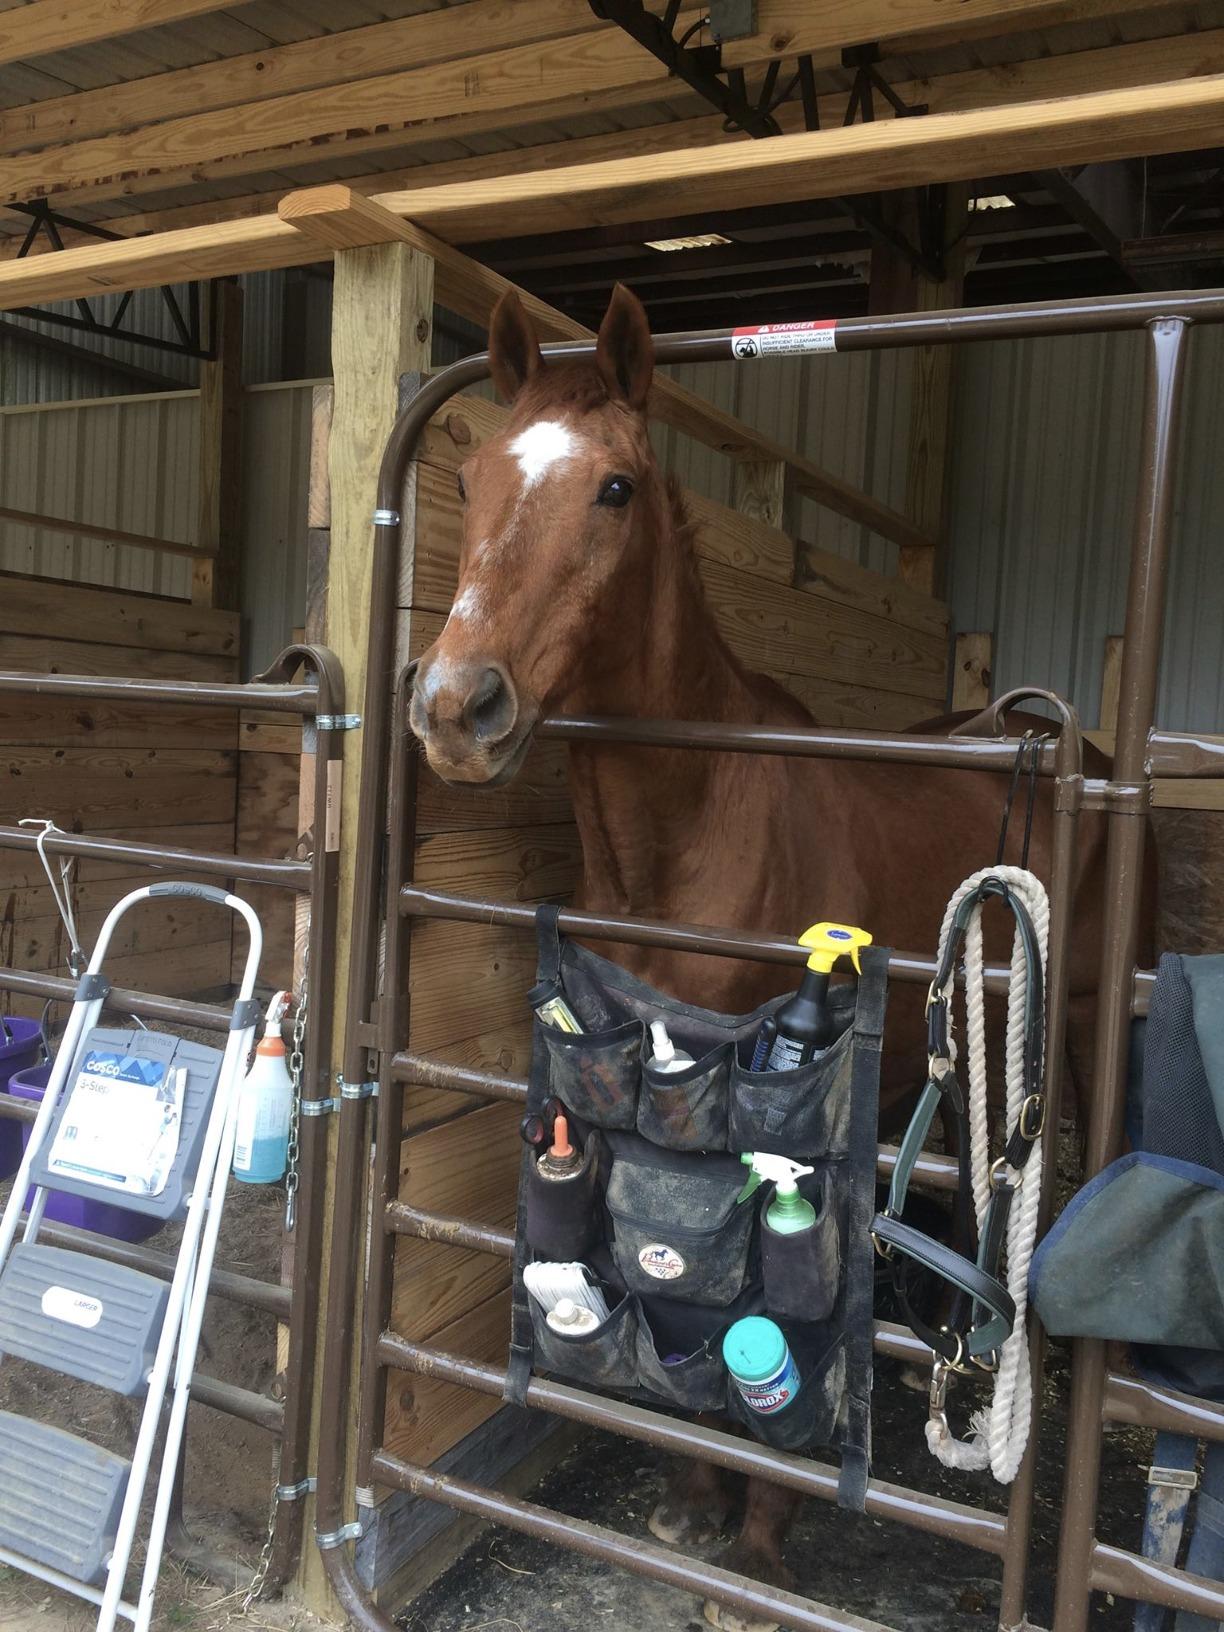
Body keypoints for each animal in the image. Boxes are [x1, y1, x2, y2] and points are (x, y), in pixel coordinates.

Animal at [409, 283, 1113, 1631]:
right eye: (472, 477)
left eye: (616, 487)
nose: (456, 708)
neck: (690, 830)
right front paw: (694, 1503)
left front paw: (762, 1549)